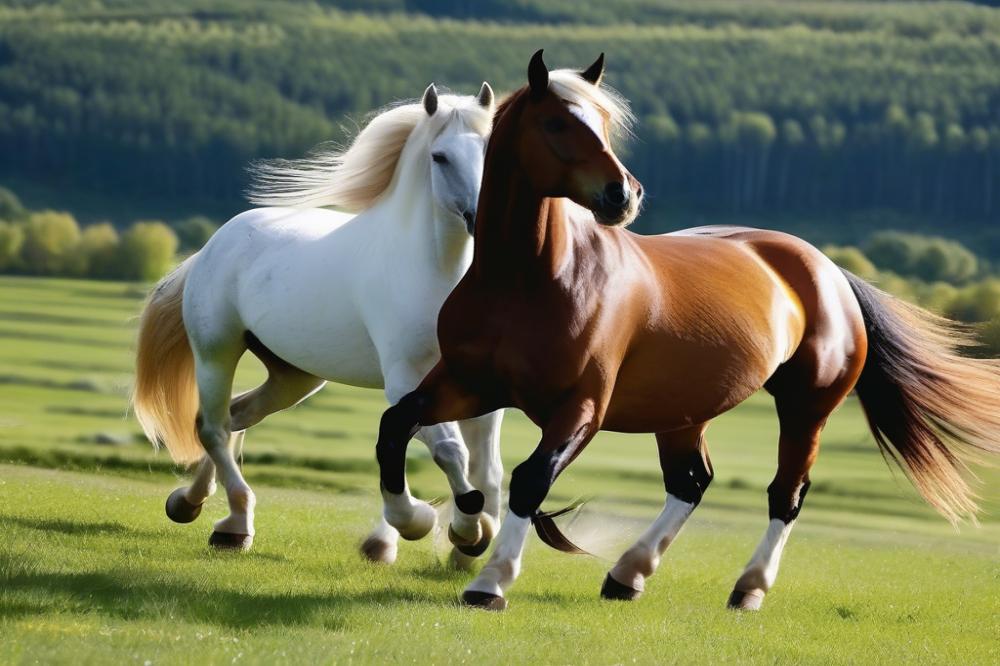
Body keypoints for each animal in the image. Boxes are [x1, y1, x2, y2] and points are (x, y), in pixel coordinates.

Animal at [132, 82, 504, 566]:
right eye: (440, 157)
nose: (483, 219)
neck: (434, 274)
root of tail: (215, 243)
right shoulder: (404, 381)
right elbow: (449, 451)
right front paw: (445, 527)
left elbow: (486, 466)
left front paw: (470, 536)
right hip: (216, 352)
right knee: (212, 427)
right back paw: (235, 523)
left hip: (295, 376)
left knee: (237, 416)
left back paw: (196, 506)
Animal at [374, 50, 1000, 611]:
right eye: (556, 122)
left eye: (603, 123)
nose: (623, 195)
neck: (528, 280)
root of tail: (827, 269)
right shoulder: (468, 383)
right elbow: (395, 426)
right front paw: (420, 522)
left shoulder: (581, 407)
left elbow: (532, 479)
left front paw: (490, 581)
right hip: (683, 413)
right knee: (692, 482)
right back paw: (628, 573)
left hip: (807, 408)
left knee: (786, 494)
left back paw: (748, 589)